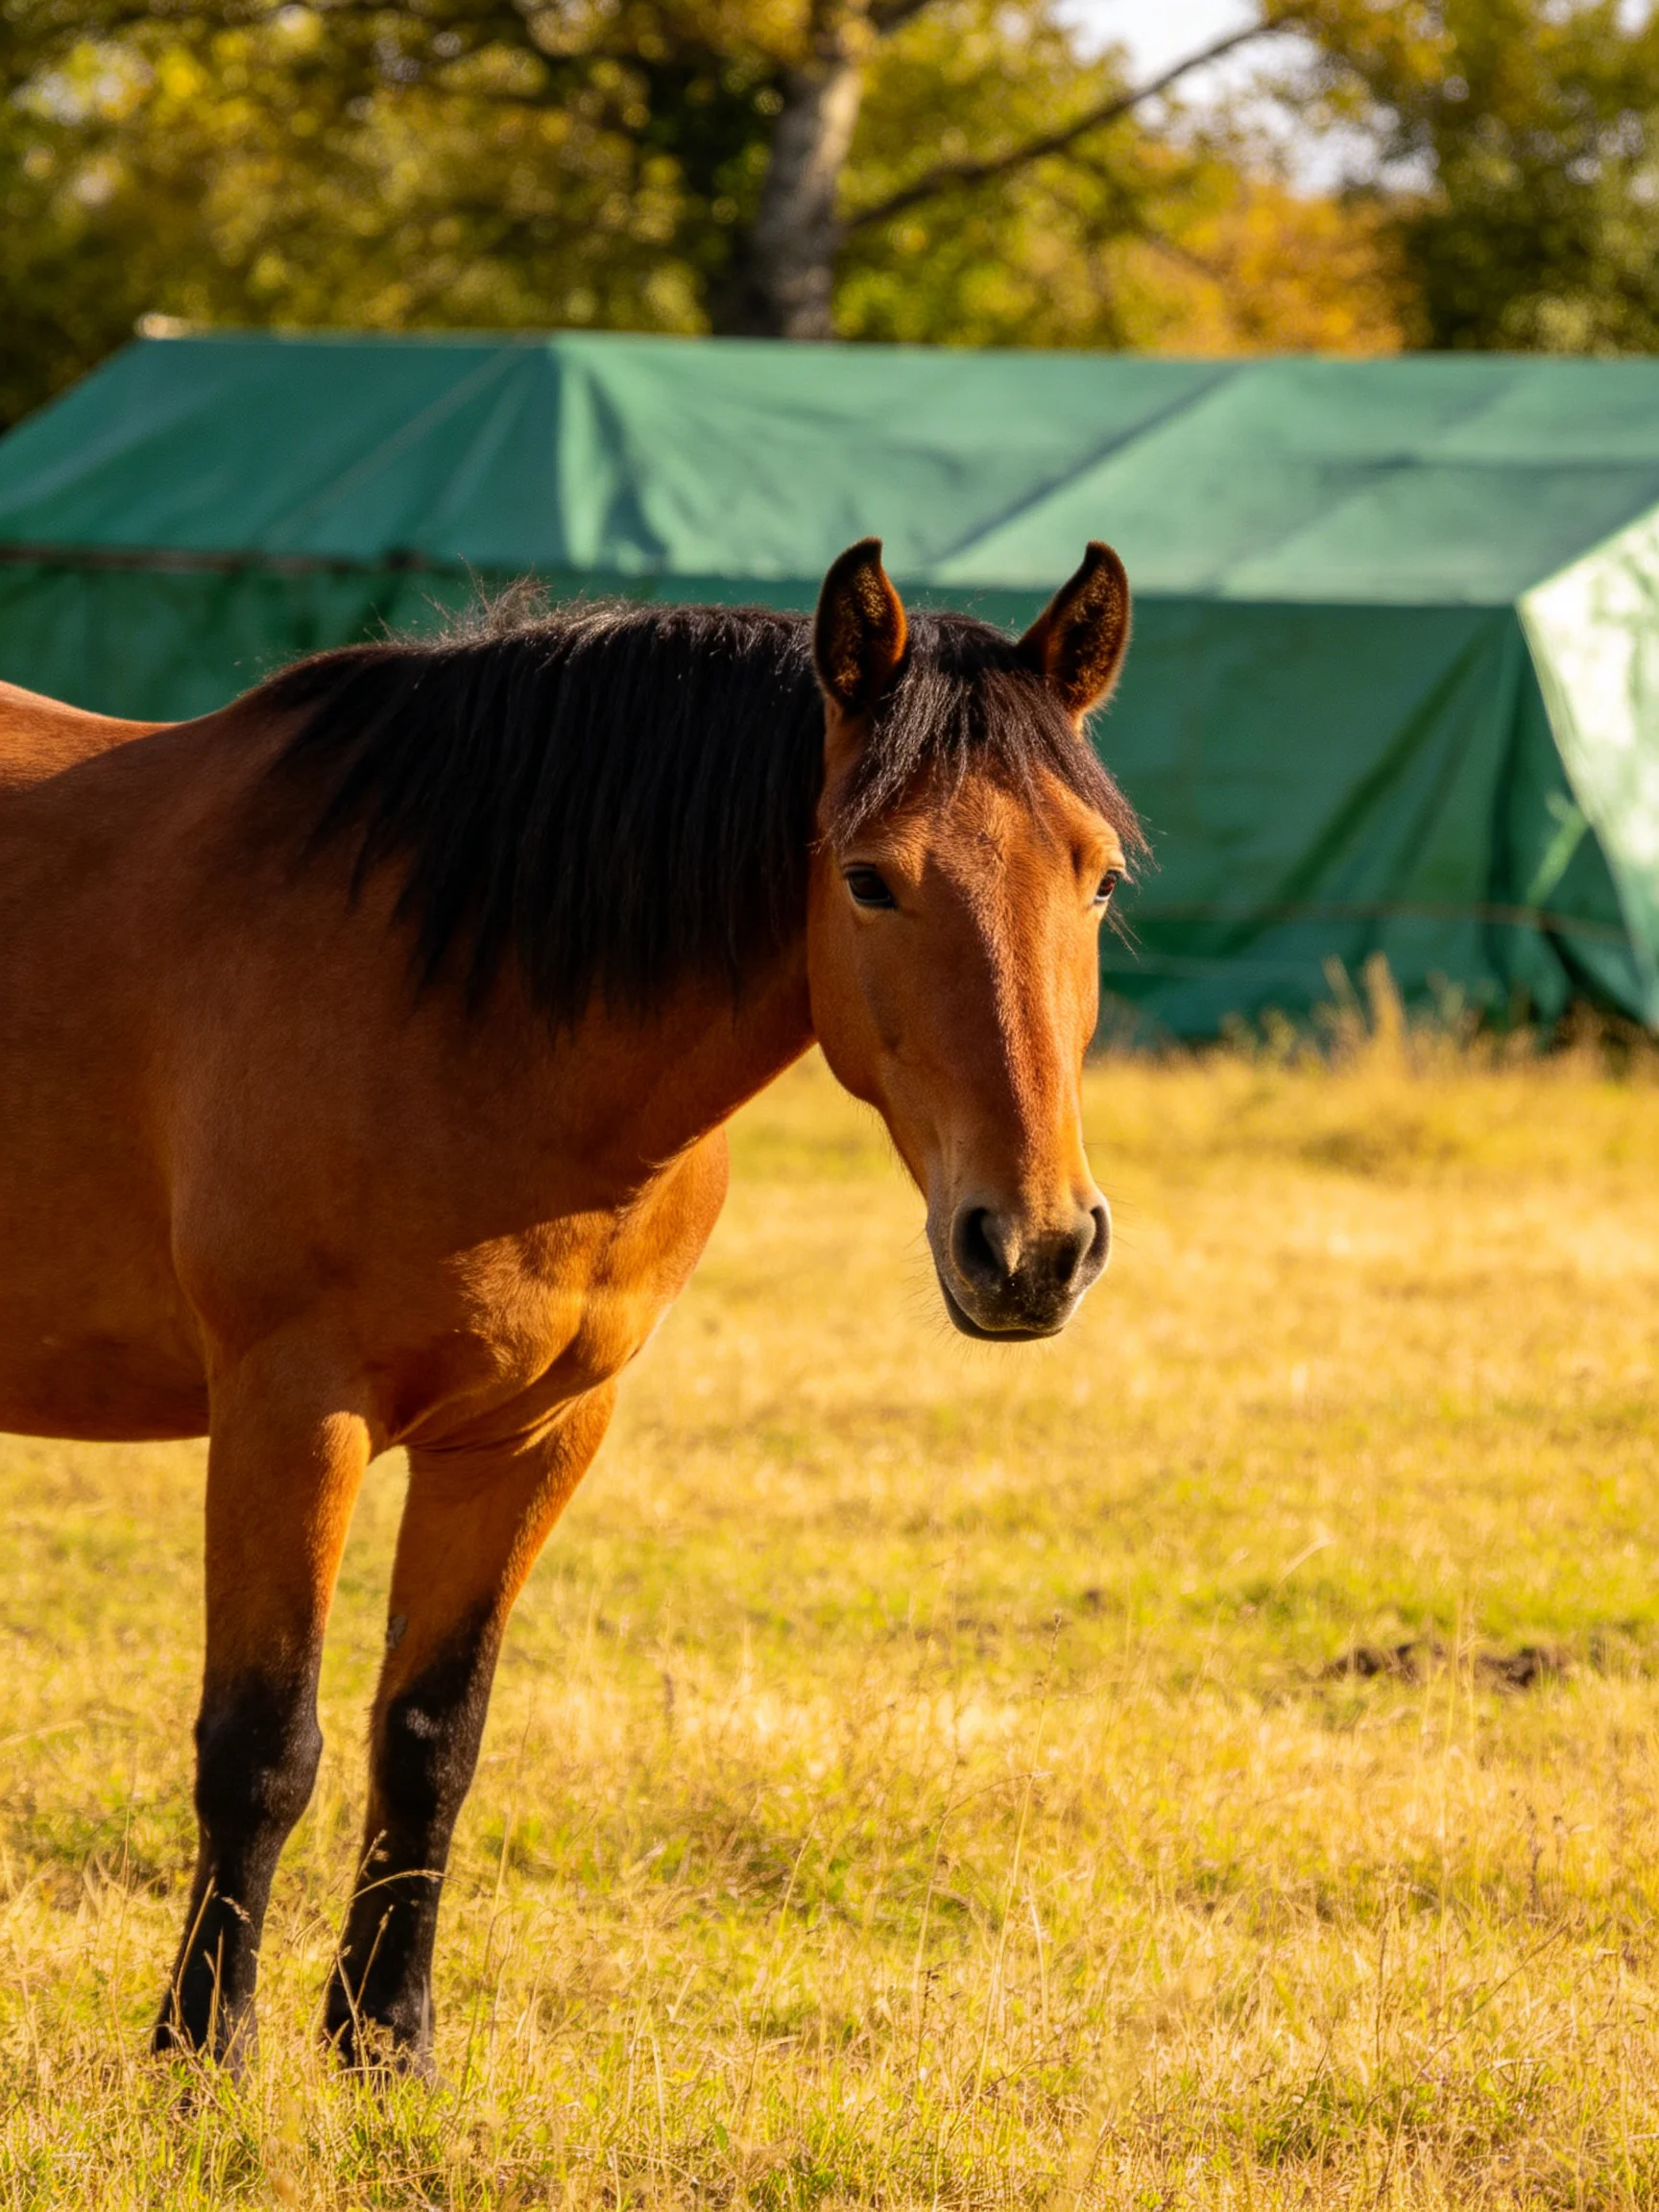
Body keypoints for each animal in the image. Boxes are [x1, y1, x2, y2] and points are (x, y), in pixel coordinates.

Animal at [0, 537, 1140, 2071]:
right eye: (870, 880)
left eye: (1096, 878)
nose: (1031, 1248)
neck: (450, 993)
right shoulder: (290, 1415)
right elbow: (262, 1748)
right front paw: (202, 2059)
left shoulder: (534, 1434)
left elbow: (432, 1737)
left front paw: (386, 2046)